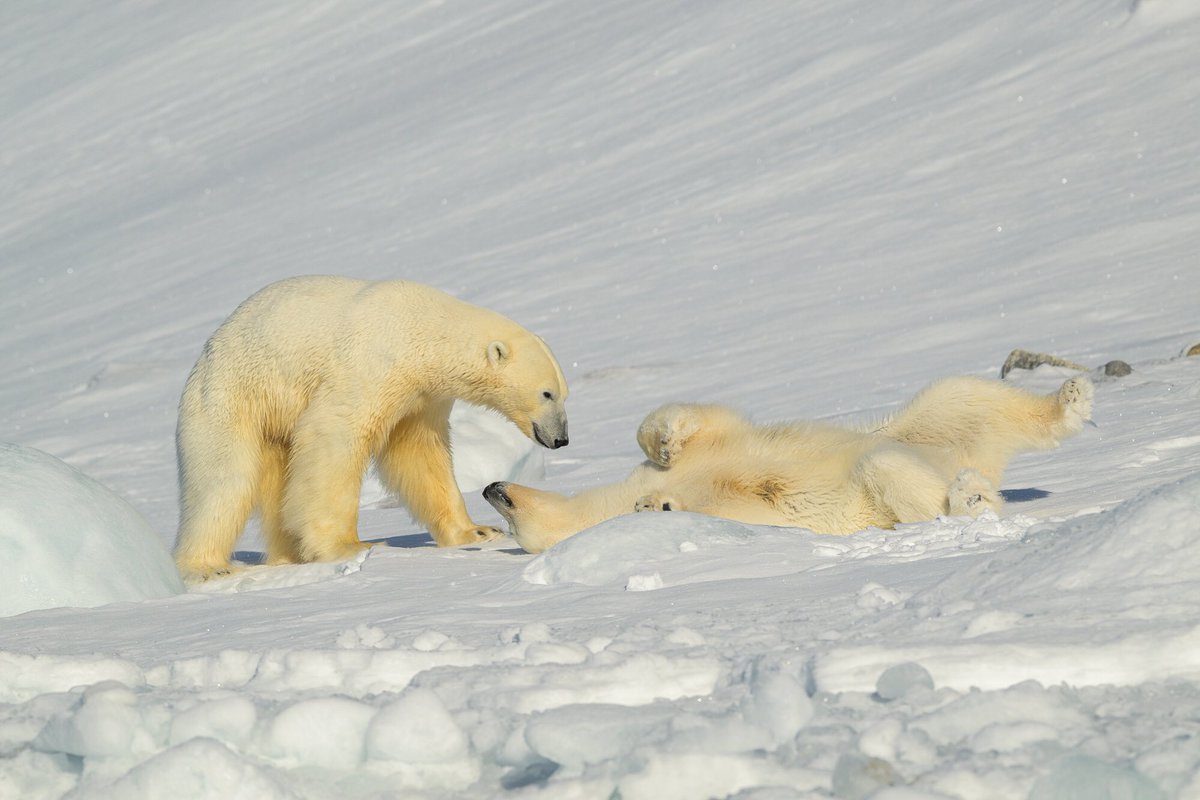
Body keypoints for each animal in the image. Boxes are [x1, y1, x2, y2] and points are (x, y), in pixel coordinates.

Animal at [173, 276, 569, 582]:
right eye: (546, 393)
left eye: (564, 394)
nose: (561, 439)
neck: (423, 328)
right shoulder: (371, 365)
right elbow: (334, 435)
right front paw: (348, 546)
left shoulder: (422, 397)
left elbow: (419, 455)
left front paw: (479, 531)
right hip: (231, 399)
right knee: (224, 482)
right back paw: (209, 567)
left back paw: (289, 556)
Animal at [484, 375, 1093, 553]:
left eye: (510, 515)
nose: (490, 488)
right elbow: (761, 516)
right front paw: (658, 506)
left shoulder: (717, 446)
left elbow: (693, 421)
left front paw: (665, 445)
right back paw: (971, 497)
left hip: (918, 426)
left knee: (964, 398)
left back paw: (1071, 397)